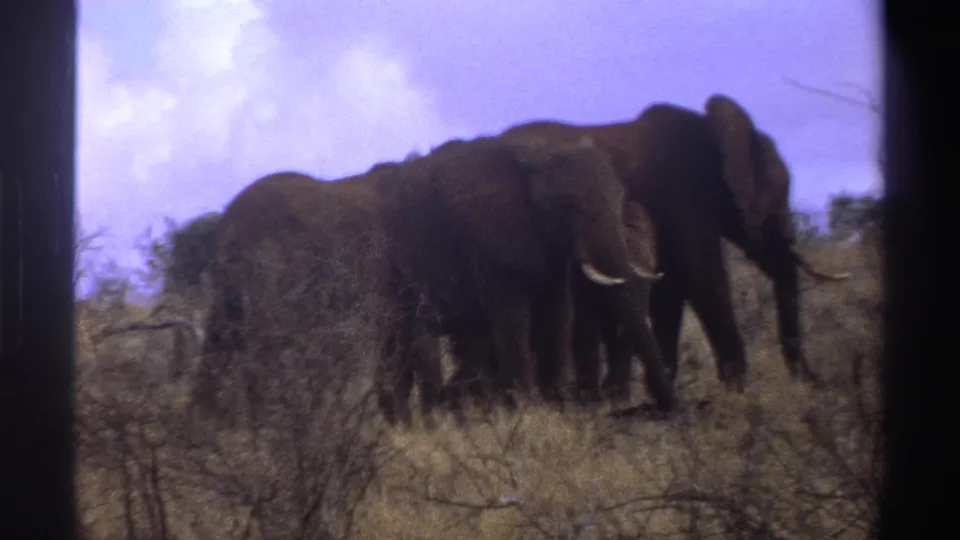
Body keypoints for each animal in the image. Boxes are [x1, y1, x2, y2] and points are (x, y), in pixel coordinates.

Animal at [374, 134, 677, 417]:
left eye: (618, 201)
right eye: (569, 207)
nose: (667, 408)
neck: (537, 158)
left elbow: (558, 313)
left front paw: (557, 408)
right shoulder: (490, 241)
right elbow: (512, 317)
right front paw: (524, 410)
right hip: (395, 267)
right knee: (407, 339)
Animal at [499, 94, 852, 392]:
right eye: (776, 200)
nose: (814, 382)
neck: (710, 131)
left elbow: (672, 291)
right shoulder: (685, 195)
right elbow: (703, 277)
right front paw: (738, 391)